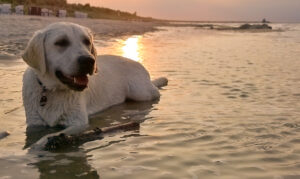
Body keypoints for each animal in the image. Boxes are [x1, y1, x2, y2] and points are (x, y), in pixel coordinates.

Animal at [22, 22, 168, 148]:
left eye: (87, 41)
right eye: (61, 42)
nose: (88, 61)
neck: (52, 90)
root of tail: (139, 63)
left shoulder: (78, 123)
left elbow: (48, 136)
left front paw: (36, 147)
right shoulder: (34, 123)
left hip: (141, 93)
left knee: (155, 91)